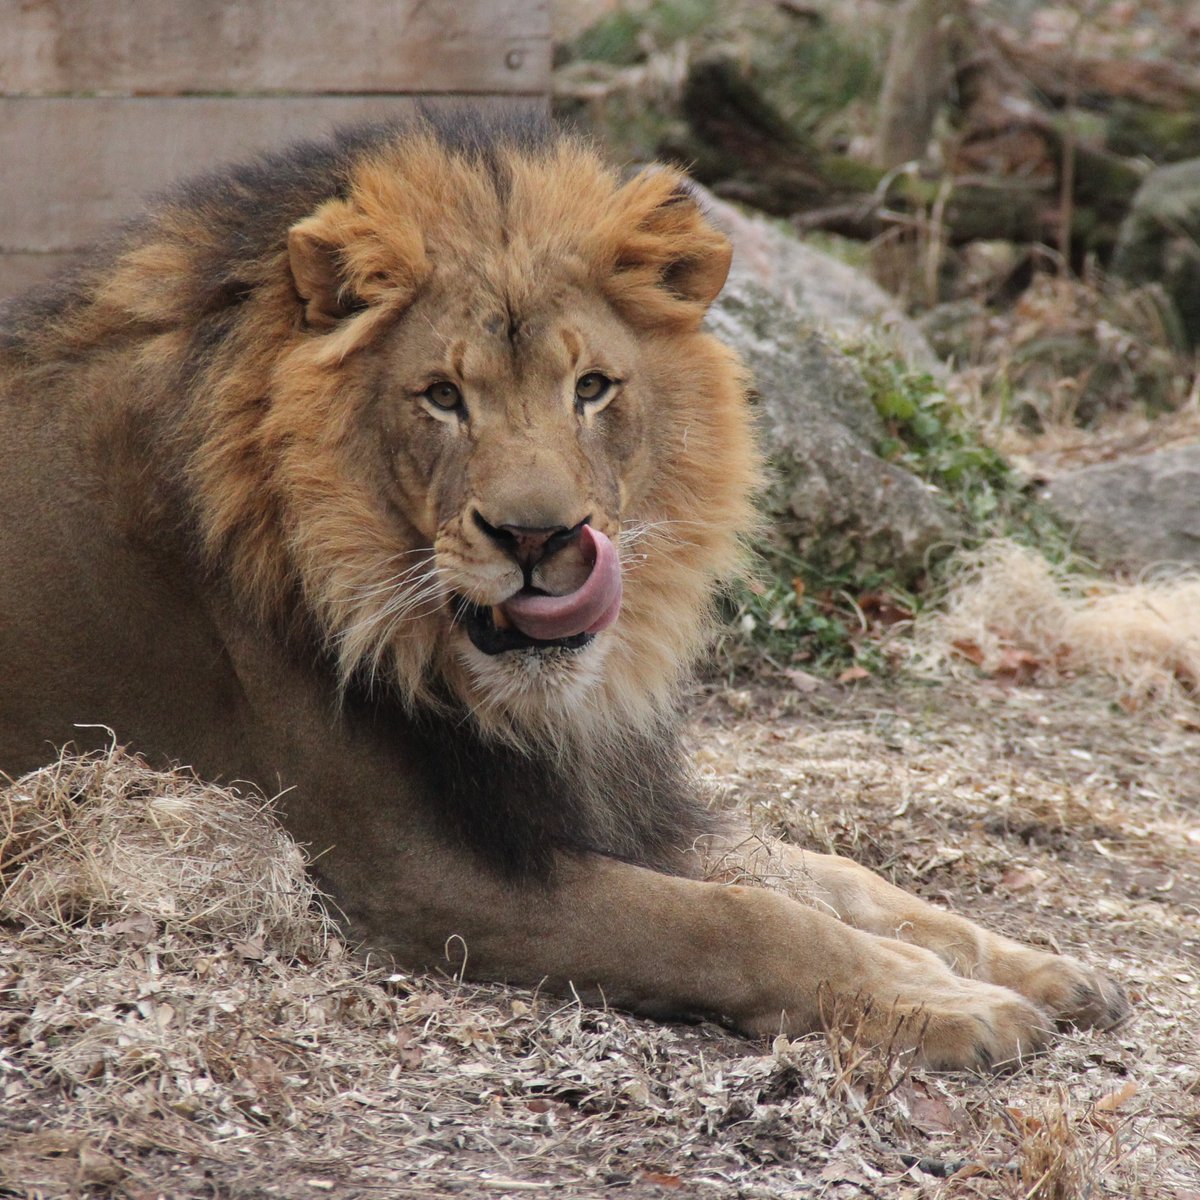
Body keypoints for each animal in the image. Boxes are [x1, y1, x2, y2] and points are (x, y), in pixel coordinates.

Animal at [0, 112, 1123, 1070]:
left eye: (592, 389)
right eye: (442, 397)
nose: (538, 537)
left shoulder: (606, 798)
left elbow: (836, 876)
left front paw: (1036, 966)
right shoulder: (412, 870)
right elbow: (736, 917)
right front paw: (938, 1001)